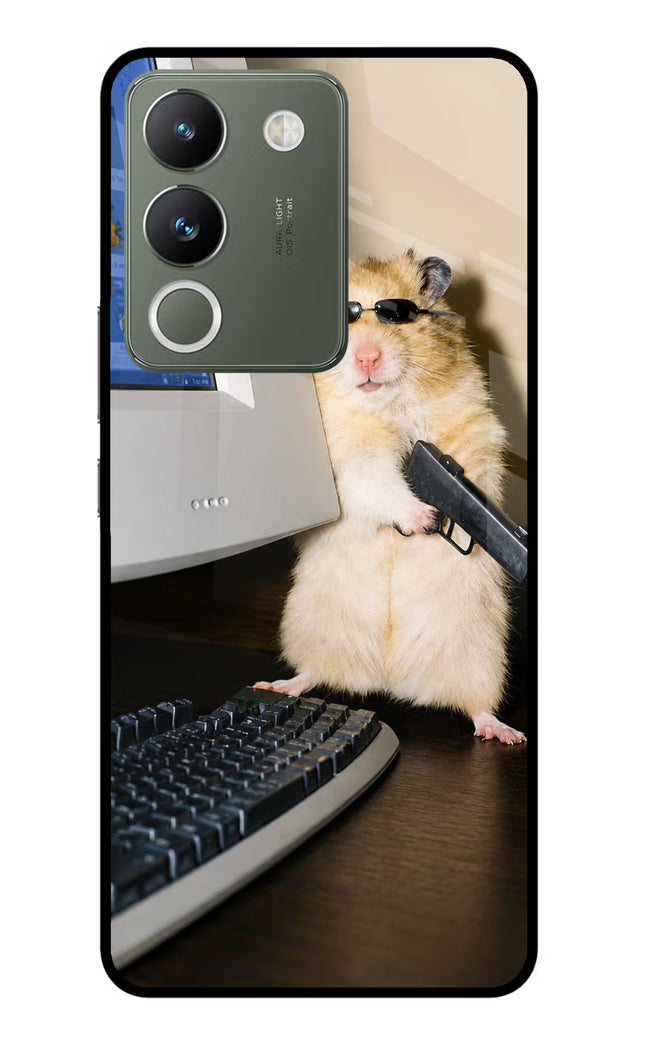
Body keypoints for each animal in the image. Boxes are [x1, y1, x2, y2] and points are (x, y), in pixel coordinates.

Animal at [256, 251, 526, 744]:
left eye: (396, 316)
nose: (367, 357)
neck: (385, 404)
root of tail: (389, 679)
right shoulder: (348, 459)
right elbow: (377, 482)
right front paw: (423, 518)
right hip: (312, 626)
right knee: (314, 672)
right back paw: (279, 685)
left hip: (479, 653)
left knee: (477, 705)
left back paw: (504, 733)